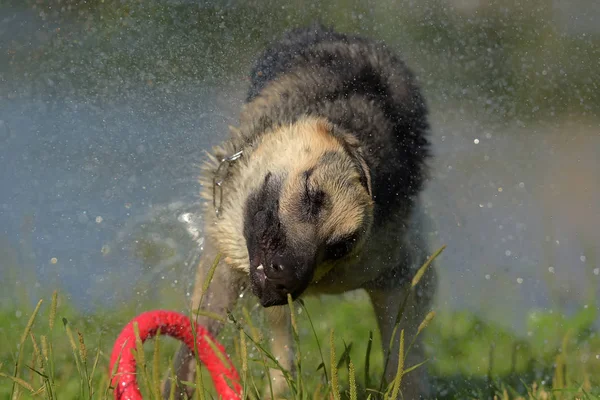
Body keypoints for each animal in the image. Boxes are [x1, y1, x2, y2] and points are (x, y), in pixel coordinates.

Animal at [162, 23, 438, 398]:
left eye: (341, 245)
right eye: (312, 196)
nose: (287, 279)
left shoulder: (396, 274)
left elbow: (402, 358)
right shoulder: (224, 261)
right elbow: (196, 335)